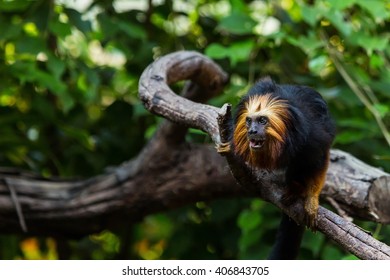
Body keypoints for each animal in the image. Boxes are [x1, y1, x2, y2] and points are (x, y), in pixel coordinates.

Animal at [232, 76, 336, 258]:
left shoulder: (313, 138)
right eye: (249, 121)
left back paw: (297, 189)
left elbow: (319, 160)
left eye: (262, 120)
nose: (252, 131)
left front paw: (311, 199)